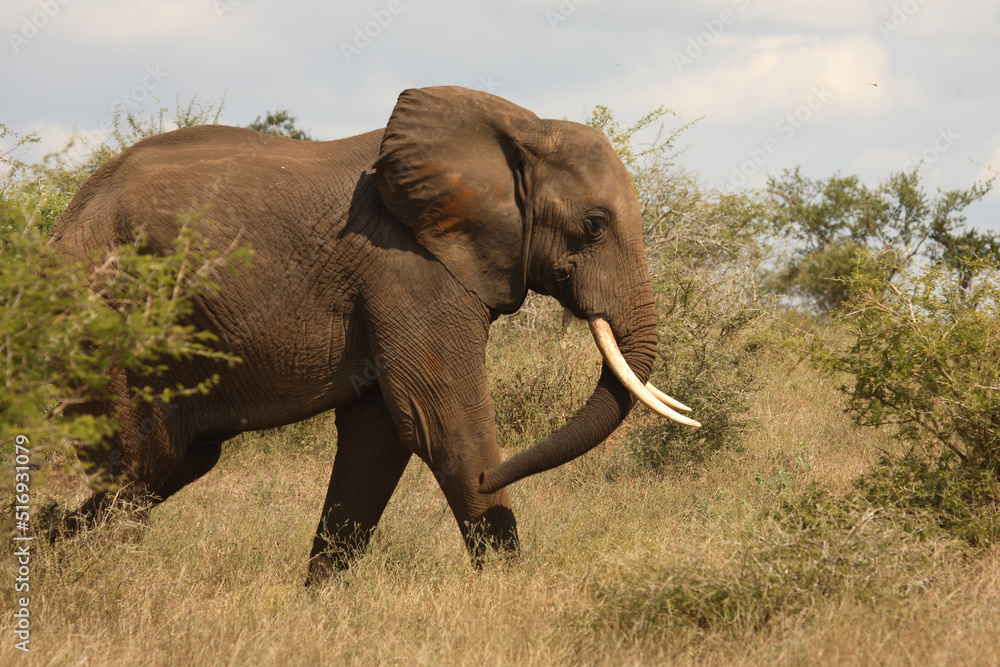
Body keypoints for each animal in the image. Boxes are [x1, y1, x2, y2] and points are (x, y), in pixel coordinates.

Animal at [49, 86, 699, 583]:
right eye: (594, 226)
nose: (499, 473)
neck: (520, 128)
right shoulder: (408, 265)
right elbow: (441, 422)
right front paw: (513, 593)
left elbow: (378, 439)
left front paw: (317, 604)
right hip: (106, 317)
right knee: (140, 463)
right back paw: (99, 580)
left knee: (174, 463)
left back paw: (47, 542)